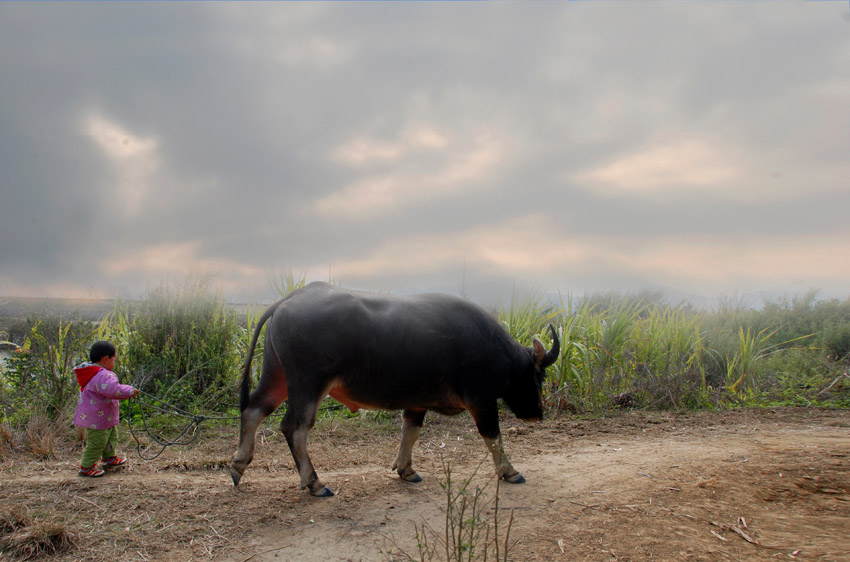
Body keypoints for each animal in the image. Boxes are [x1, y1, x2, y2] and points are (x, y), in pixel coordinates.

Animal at [229, 282, 560, 492]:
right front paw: (510, 472)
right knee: (295, 427)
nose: (538, 413)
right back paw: (314, 483)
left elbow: (410, 432)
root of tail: (288, 300)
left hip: (277, 376)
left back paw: (238, 466)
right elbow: (493, 438)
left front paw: (406, 470)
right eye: (539, 376)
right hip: (308, 385)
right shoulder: (481, 400)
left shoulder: (417, 402)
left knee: (254, 409)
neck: (493, 349)